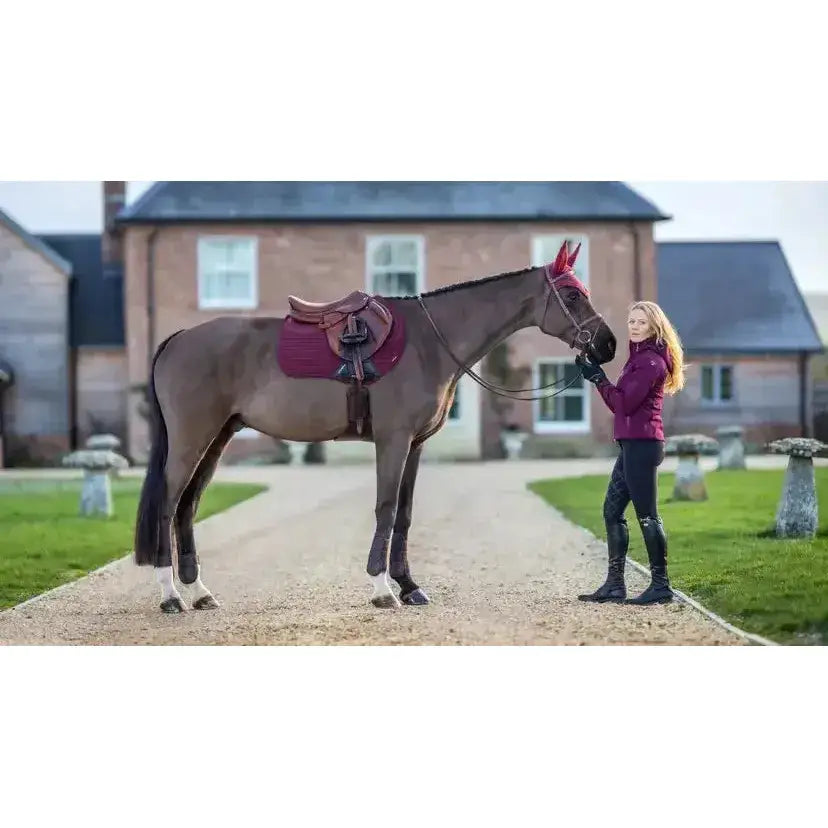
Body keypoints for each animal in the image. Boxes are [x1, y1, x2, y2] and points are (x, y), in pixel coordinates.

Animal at [133, 242, 617, 614]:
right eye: (572, 295)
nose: (609, 344)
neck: (429, 341)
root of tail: (178, 339)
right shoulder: (393, 439)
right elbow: (386, 507)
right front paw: (383, 588)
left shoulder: (416, 445)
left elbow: (404, 513)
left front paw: (410, 586)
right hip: (192, 439)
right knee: (168, 504)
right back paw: (171, 595)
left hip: (218, 438)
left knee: (188, 506)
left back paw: (200, 592)